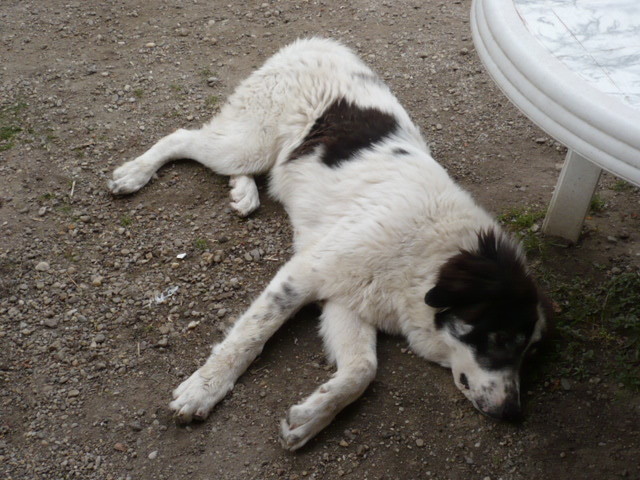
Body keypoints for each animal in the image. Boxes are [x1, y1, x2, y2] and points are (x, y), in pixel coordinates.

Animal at [107, 37, 548, 450]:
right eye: (501, 339)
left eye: (530, 353)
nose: (513, 414)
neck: (428, 256)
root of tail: (317, 42)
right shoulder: (303, 274)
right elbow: (249, 336)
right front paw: (204, 389)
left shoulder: (348, 299)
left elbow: (362, 370)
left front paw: (311, 417)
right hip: (248, 143)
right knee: (183, 137)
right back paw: (134, 173)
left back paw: (243, 194)